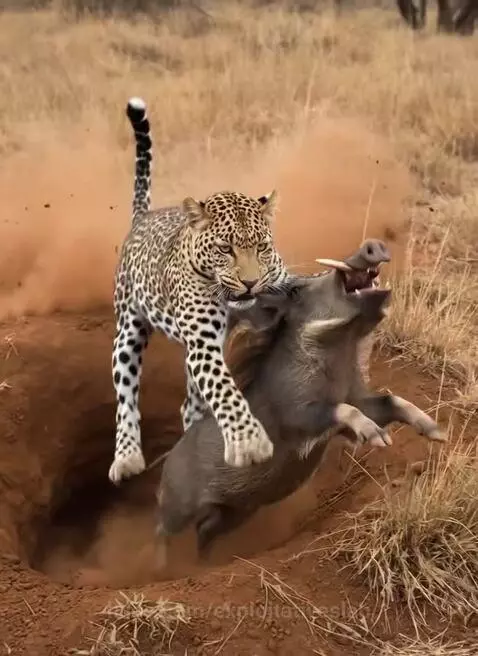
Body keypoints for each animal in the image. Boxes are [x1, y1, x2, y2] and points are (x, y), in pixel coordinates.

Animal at [109, 96, 289, 484]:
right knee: (126, 399)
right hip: (127, 332)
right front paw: (249, 443)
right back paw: (127, 457)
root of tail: (142, 218)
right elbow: (224, 389)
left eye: (262, 247)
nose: (250, 282)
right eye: (225, 249)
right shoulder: (203, 344)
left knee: (187, 405)